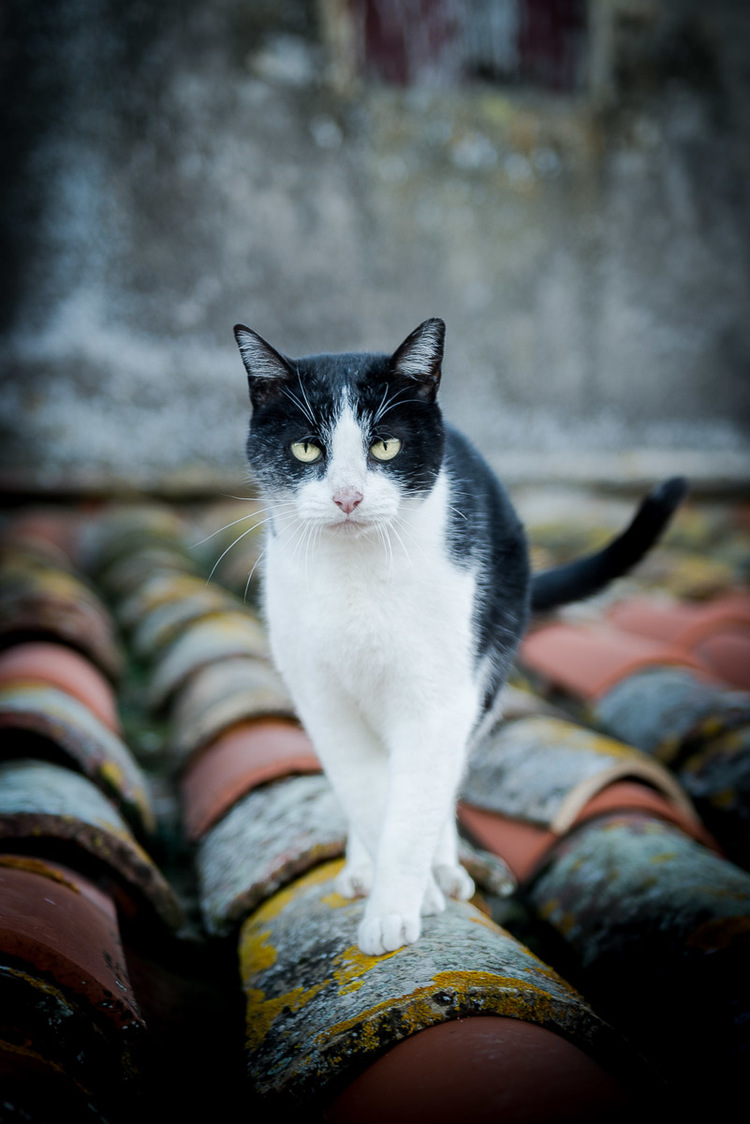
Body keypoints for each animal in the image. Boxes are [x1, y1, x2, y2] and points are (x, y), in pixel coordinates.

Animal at [232, 316, 688, 957]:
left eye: (385, 446)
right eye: (305, 448)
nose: (348, 496)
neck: (356, 576)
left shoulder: (440, 697)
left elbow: (416, 804)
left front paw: (399, 906)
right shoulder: (321, 701)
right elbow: (368, 794)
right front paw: (395, 885)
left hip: (489, 652)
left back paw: (443, 864)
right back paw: (365, 865)